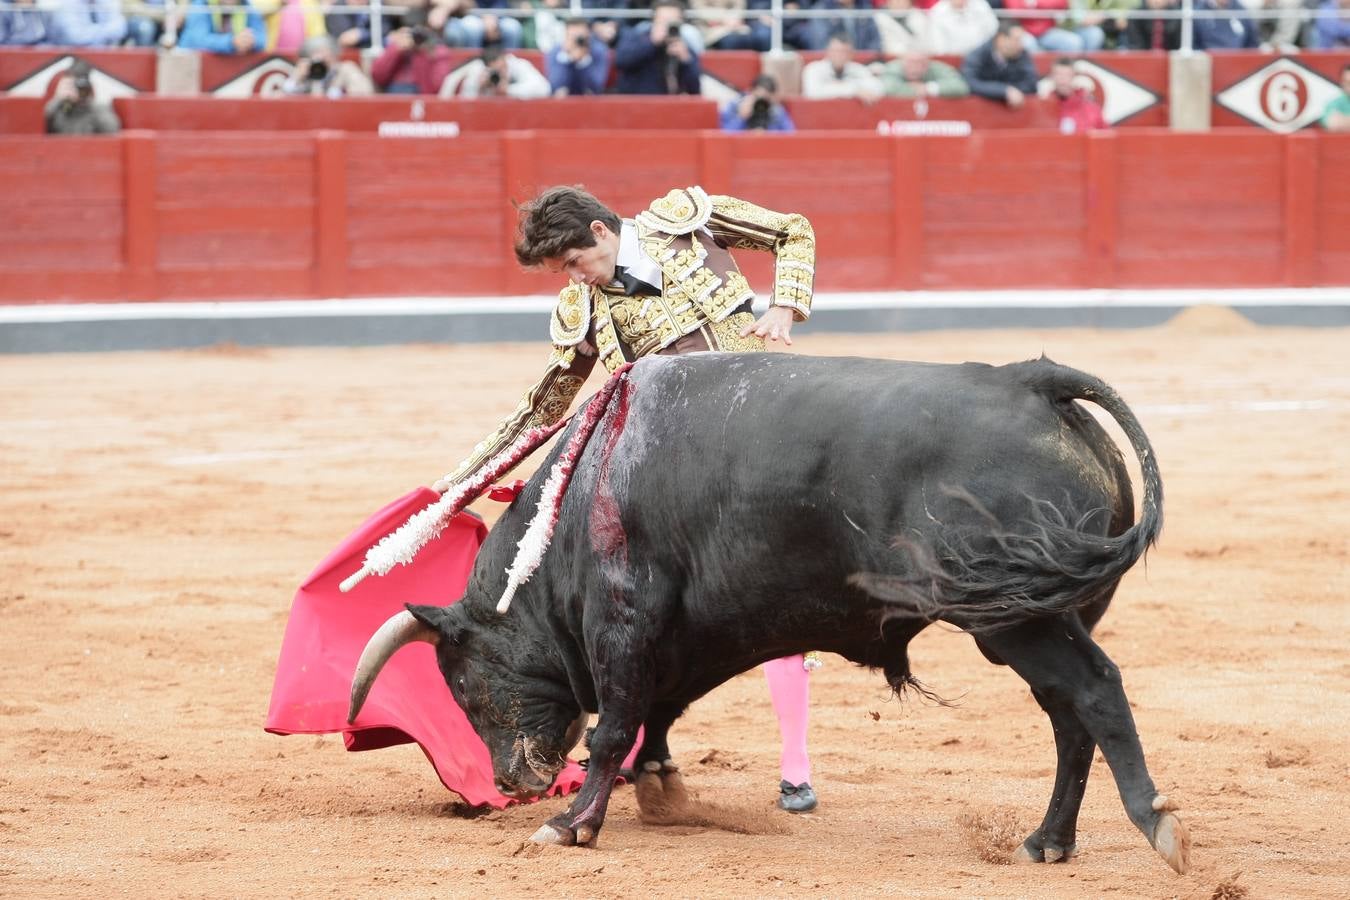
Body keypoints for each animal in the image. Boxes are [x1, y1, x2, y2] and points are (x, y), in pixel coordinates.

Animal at [351, 350, 1193, 874]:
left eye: (464, 686)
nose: (514, 781)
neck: (590, 483)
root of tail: (1032, 382)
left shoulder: (624, 619)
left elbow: (615, 723)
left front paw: (570, 824)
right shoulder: (698, 629)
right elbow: (656, 711)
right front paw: (656, 786)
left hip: (1015, 618)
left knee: (1095, 692)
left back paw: (1156, 825)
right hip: (1049, 614)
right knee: (1068, 718)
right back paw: (1048, 841)